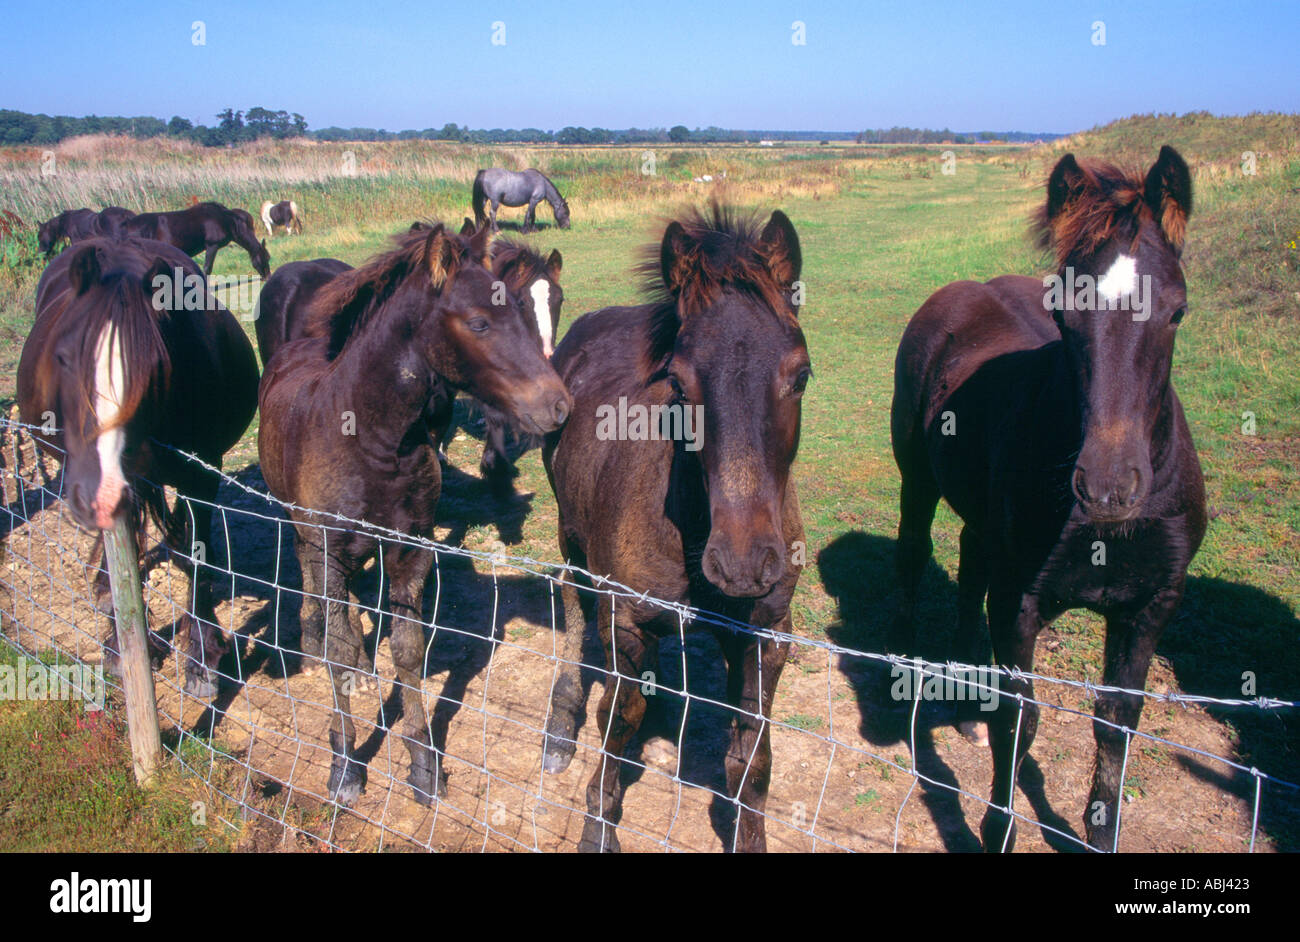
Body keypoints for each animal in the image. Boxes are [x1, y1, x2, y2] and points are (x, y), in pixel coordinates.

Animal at [18, 236, 258, 691]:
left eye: (156, 370)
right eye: (63, 358)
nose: (98, 493)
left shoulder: (201, 470)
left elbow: (192, 552)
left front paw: (202, 655)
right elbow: (126, 555)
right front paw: (122, 645)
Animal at [258, 222, 569, 810]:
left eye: (536, 308)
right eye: (479, 322)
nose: (558, 406)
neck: (372, 439)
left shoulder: (411, 548)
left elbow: (407, 652)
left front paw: (424, 766)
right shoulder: (330, 545)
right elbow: (338, 650)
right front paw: (344, 767)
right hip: (298, 521)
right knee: (308, 575)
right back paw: (313, 639)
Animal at [540, 205, 806, 852]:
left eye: (803, 376)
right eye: (679, 385)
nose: (742, 565)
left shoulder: (769, 631)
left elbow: (751, 759)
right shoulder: (627, 617)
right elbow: (617, 721)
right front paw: (598, 825)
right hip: (569, 528)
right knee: (570, 593)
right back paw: (561, 720)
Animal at [889, 146, 1201, 852]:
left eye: (1176, 311)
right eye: (1064, 314)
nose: (1109, 487)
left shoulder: (1153, 604)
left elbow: (1116, 722)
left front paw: (1100, 832)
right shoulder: (1021, 596)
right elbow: (1021, 719)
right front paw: (997, 829)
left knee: (969, 565)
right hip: (917, 480)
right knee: (913, 556)